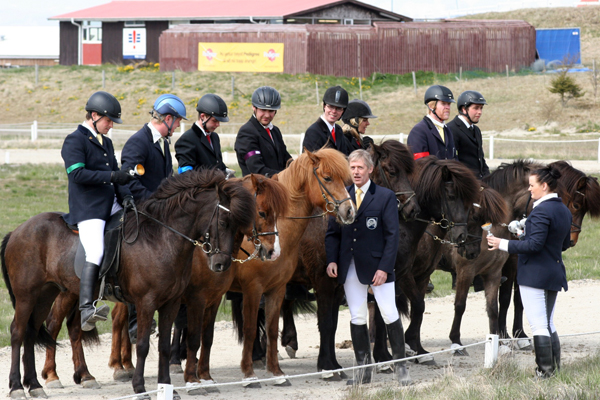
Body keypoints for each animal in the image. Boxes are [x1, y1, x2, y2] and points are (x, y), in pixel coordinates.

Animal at [0, 170, 253, 400]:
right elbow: (142, 345)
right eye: (223, 222)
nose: (221, 264)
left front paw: (167, 388)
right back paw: (18, 387)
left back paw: (35, 385)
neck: (161, 238)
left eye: (238, 225)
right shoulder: (147, 302)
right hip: (27, 296)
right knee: (18, 332)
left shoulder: (171, 303)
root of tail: (18, 230)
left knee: (32, 333)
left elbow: (163, 346)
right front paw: (140, 388)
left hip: (46, 294)